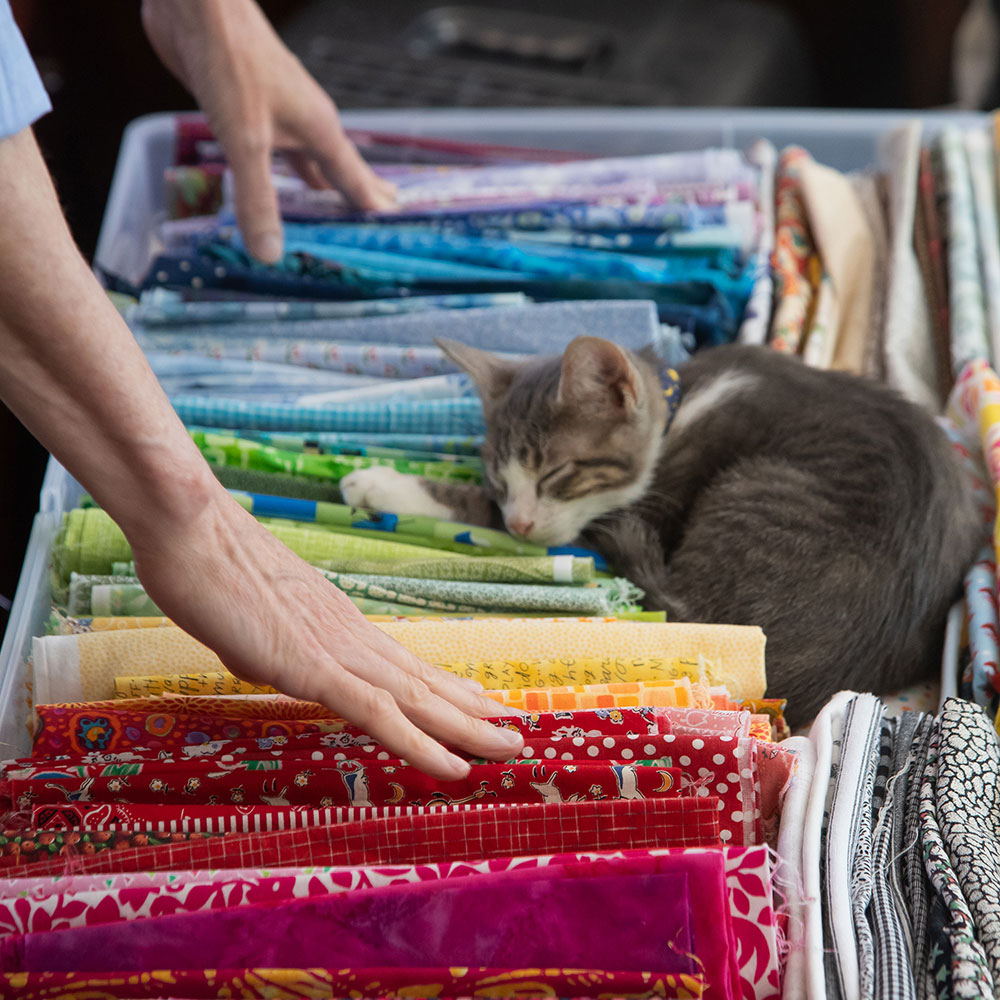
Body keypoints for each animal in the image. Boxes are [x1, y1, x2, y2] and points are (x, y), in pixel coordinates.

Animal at [340, 338, 980, 728]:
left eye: (555, 473)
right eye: (501, 477)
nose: (521, 517)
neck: (677, 406)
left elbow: (490, 520)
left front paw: (377, 483)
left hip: (761, 491)